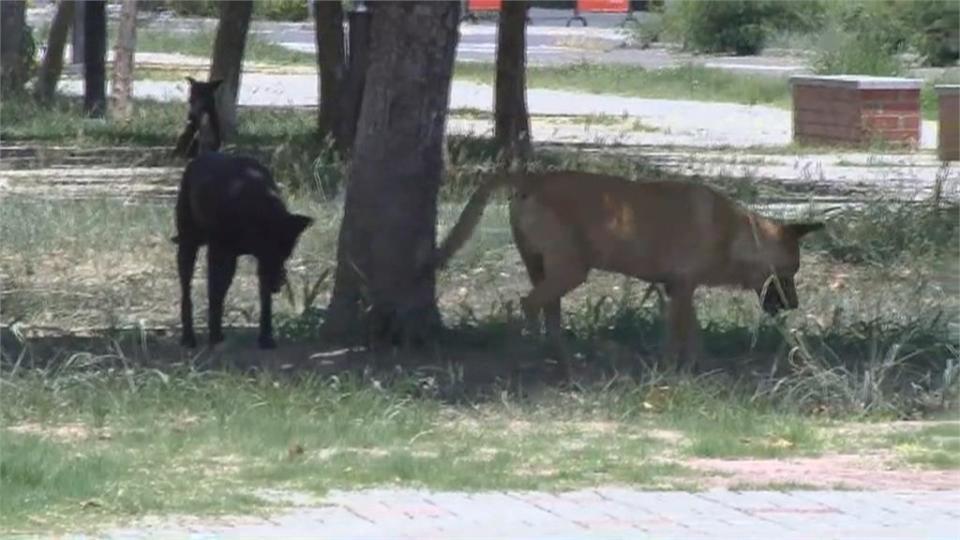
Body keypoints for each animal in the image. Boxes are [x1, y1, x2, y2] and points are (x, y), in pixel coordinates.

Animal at [171, 153, 310, 350]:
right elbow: (214, 293)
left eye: (286, 255)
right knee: (186, 290)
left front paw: (266, 337)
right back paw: (188, 336)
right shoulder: (220, 255)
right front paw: (214, 335)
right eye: (274, 251)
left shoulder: (257, 263)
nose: (280, 283)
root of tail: (199, 159)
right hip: (188, 246)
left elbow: (264, 300)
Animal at [432, 171, 820, 374]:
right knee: (527, 305)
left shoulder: (679, 290)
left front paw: (702, 366)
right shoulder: (681, 291)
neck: (738, 233)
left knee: (548, 316)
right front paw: (674, 371)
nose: (795, 306)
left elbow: (692, 336)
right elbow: (678, 338)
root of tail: (532, 177)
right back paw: (529, 353)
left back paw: (564, 362)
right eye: (791, 271)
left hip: (545, 271)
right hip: (571, 271)